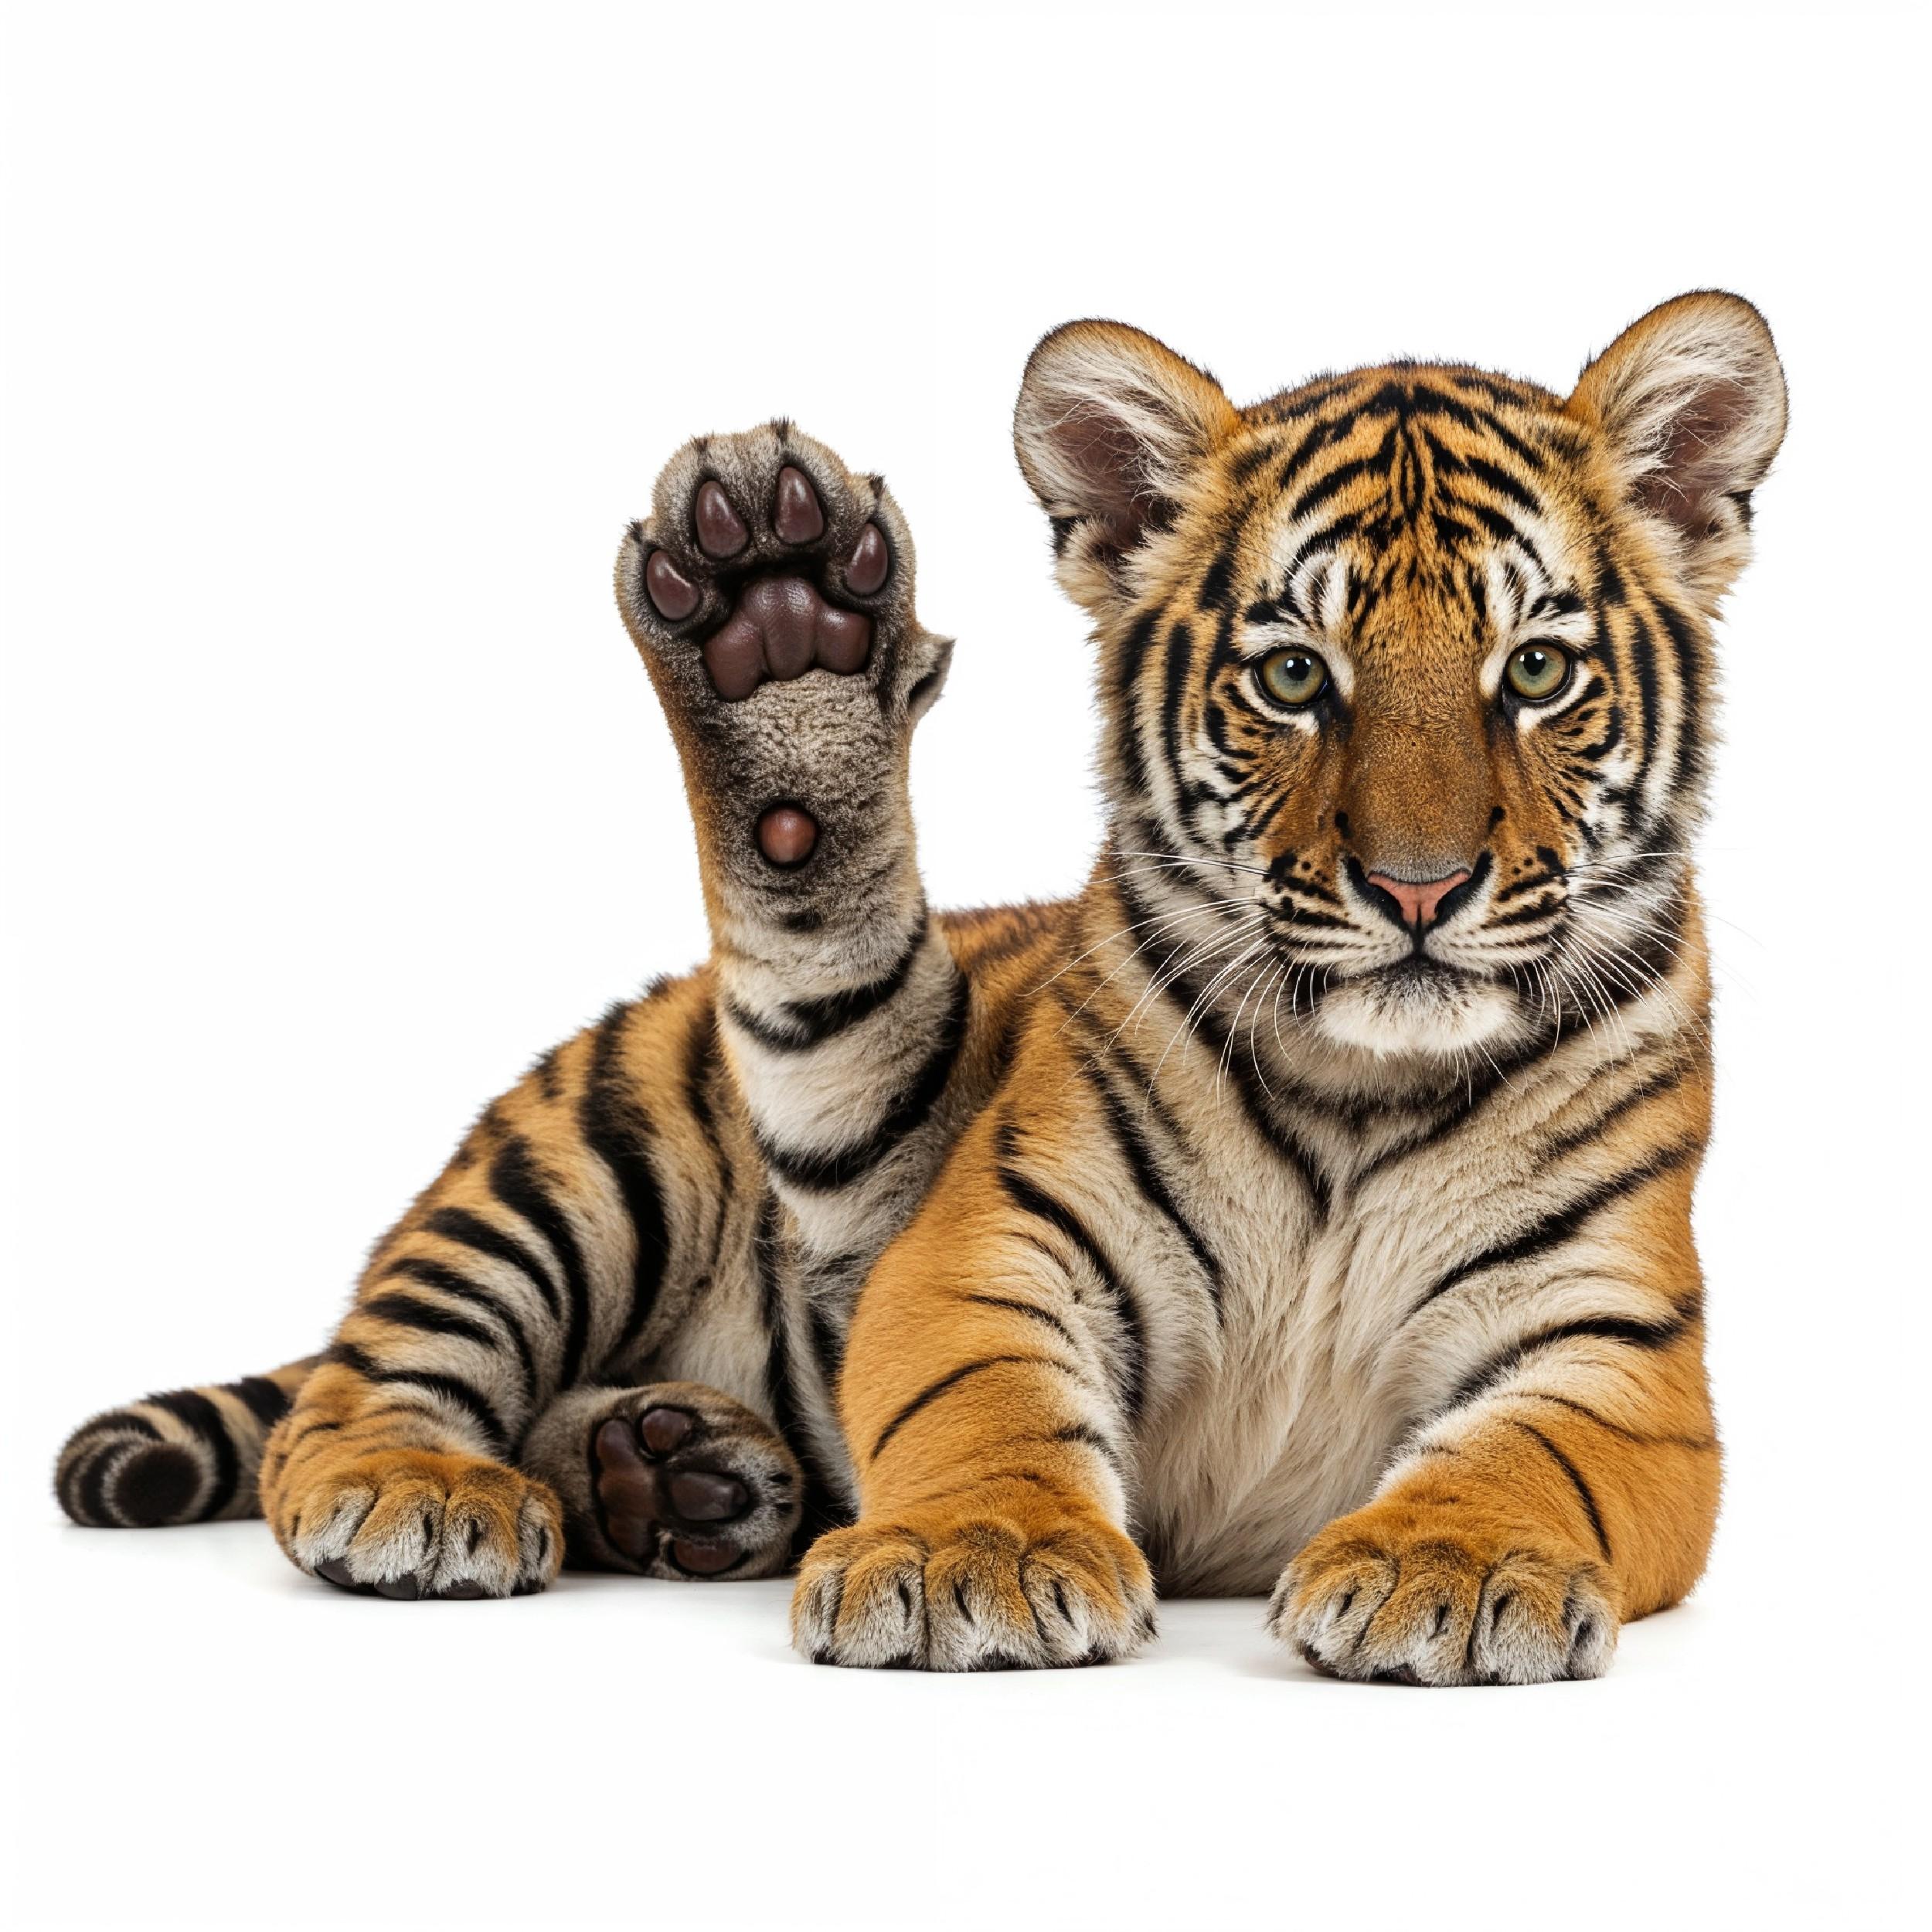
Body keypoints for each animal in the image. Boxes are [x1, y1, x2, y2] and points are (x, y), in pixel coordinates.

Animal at [53, 290, 1785, 1682]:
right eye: (1294, 677)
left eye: (1536, 671)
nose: (1418, 891)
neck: (1356, 1084)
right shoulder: (983, 1246)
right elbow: (981, 1404)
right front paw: (979, 1560)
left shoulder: (1613, 1347)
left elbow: (1530, 1459)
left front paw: (1452, 1562)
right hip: (584, 1163)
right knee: (372, 1374)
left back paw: (667, 1470)